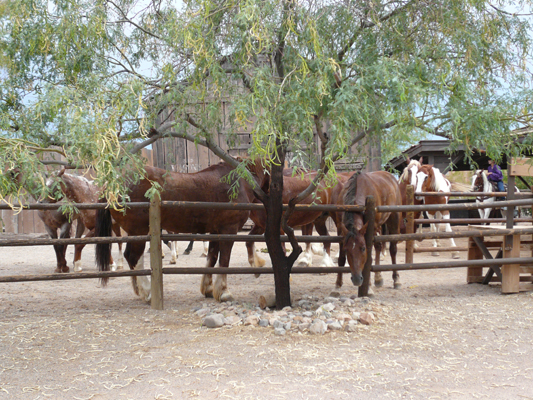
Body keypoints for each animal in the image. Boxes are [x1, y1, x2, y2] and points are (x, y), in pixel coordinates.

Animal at [95, 161, 256, 302]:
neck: (240, 180)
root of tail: (112, 184)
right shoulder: (229, 230)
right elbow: (224, 261)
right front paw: (224, 292)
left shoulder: (215, 231)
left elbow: (212, 258)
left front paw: (209, 289)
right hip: (138, 231)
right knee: (133, 257)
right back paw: (148, 293)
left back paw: (140, 290)